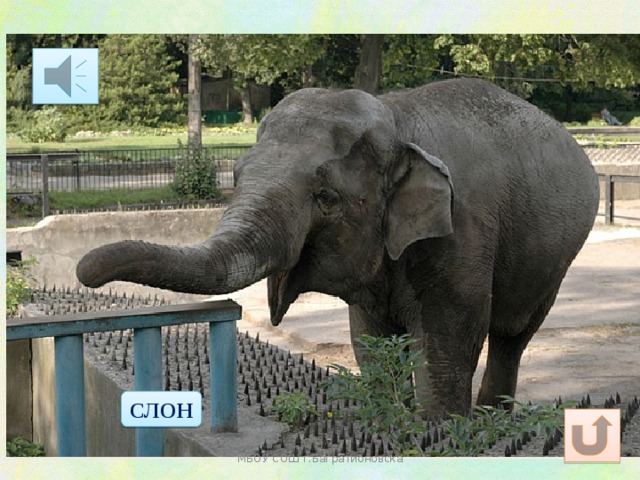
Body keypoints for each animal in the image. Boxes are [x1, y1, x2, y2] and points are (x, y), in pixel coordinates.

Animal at [77, 78, 599, 418]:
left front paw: (440, 430)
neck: (396, 118)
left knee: (514, 332)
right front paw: (391, 419)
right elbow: (368, 337)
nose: (85, 273)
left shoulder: (461, 232)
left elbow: (448, 338)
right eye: (238, 176)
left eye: (325, 198)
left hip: (555, 257)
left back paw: (493, 419)